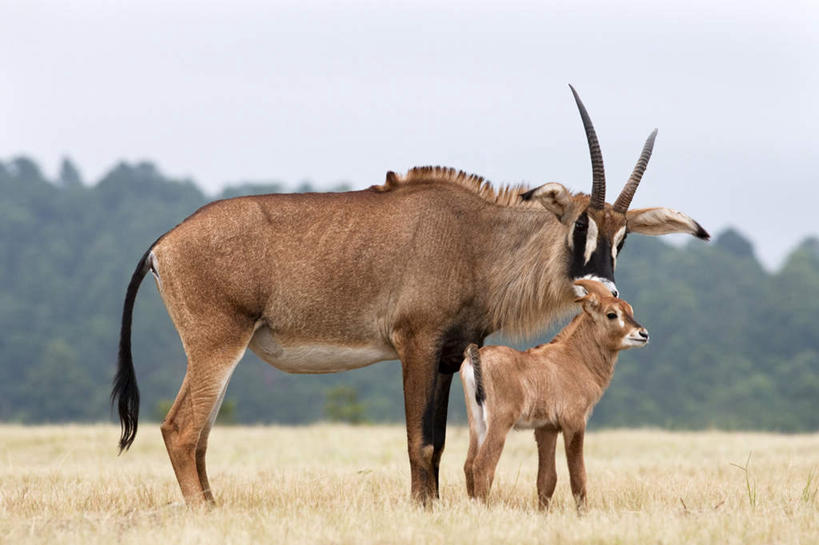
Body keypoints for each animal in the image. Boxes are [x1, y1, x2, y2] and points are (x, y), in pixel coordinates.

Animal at [462, 280, 648, 510]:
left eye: (629, 310)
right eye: (611, 314)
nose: (643, 334)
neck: (575, 357)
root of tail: (476, 356)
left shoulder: (546, 428)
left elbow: (546, 479)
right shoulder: (574, 422)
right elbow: (578, 477)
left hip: (477, 422)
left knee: (469, 464)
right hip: (499, 423)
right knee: (483, 465)